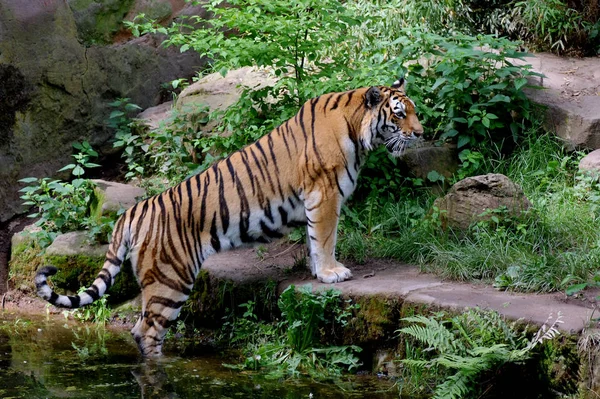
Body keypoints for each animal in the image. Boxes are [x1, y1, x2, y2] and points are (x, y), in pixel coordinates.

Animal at [35, 79, 424, 358]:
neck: (357, 129)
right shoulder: (324, 194)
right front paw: (332, 272)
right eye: (398, 114)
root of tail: (131, 212)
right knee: (146, 332)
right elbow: (326, 237)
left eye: (413, 111)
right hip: (170, 280)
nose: (421, 133)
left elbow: (314, 239)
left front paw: (318, 271)